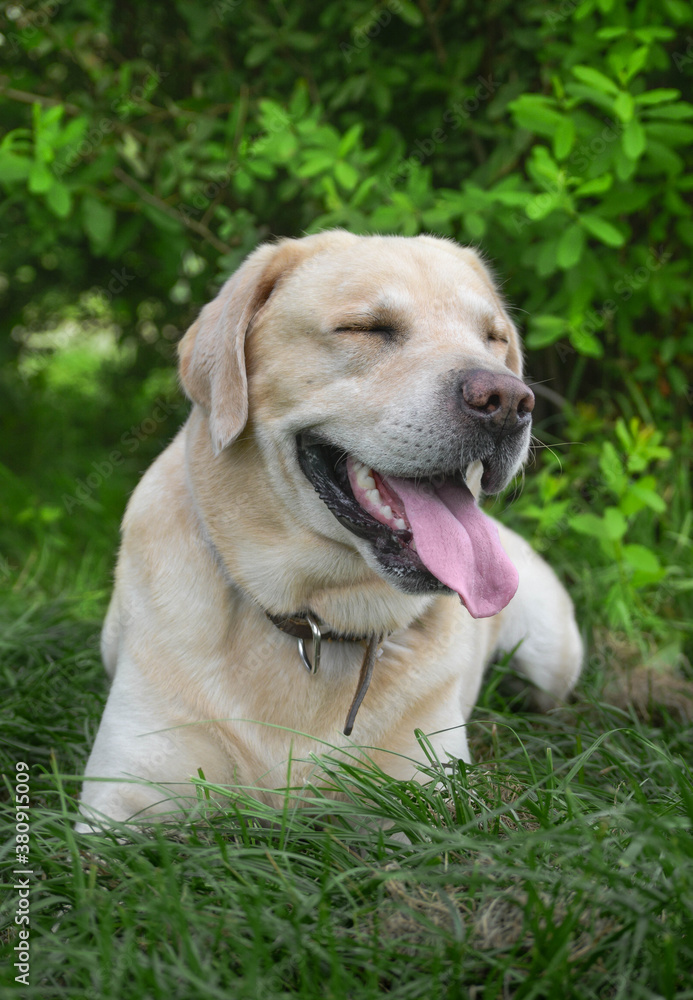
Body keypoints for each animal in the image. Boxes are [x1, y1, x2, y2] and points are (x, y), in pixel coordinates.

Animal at [78, 232, 580, 828]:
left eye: (494, 338)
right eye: (368, 328)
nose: (509, 401)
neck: (314, 619)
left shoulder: (432, 797)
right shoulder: (120, 800)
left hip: (554, 658)